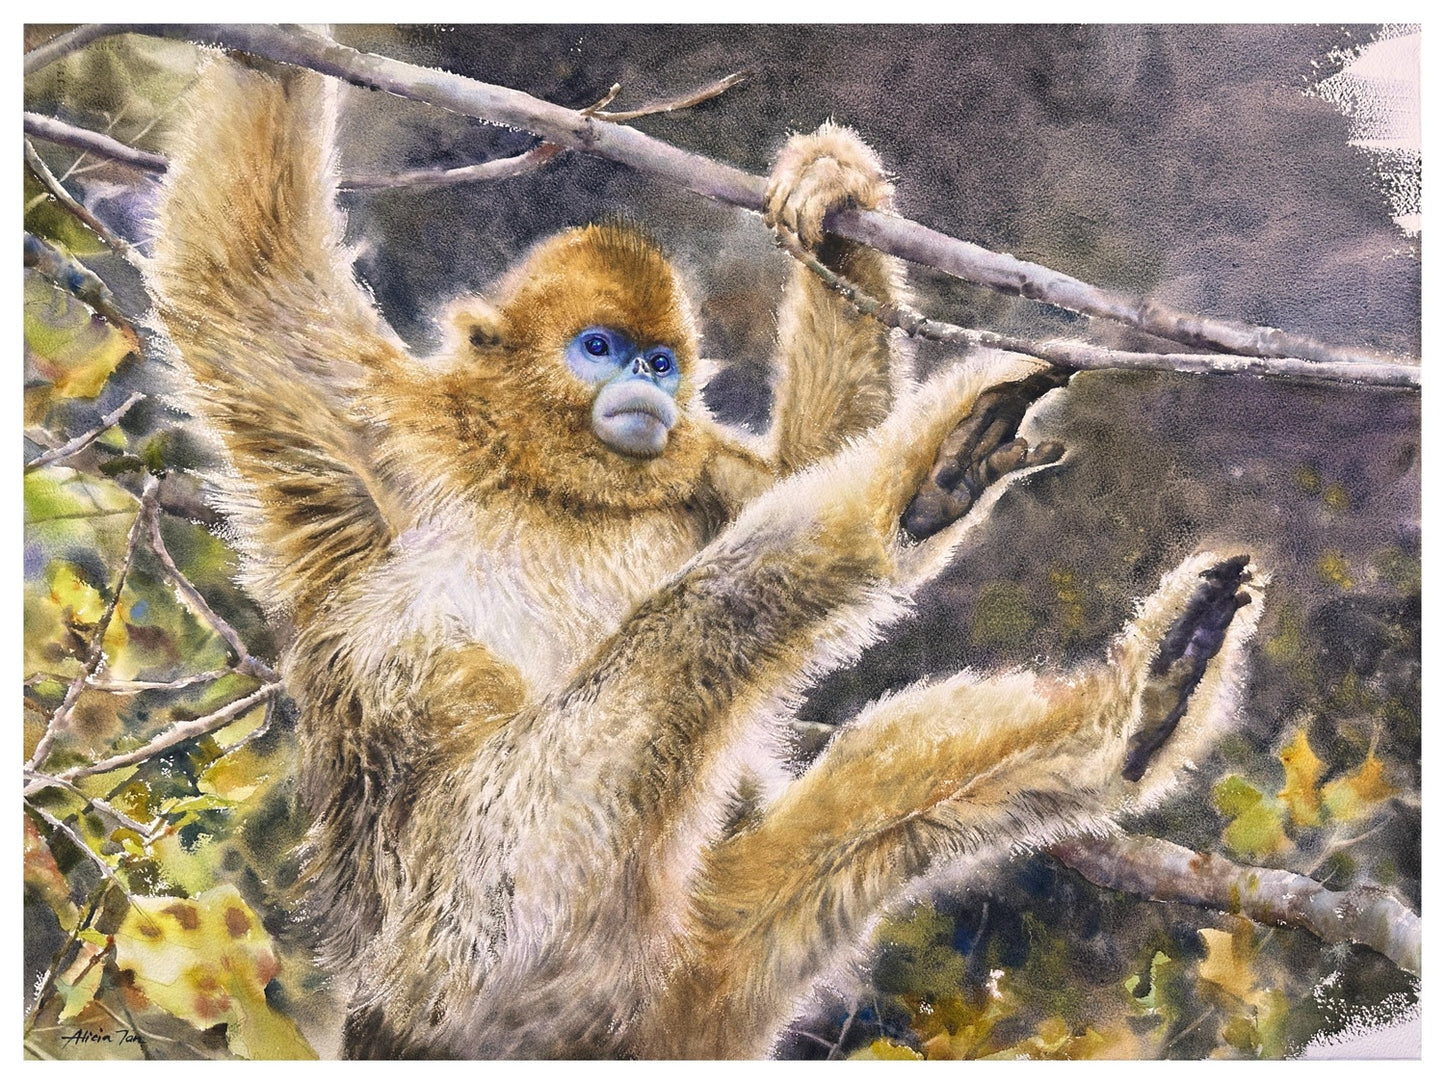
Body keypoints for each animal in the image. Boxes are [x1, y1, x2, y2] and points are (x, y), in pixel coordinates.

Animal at [146, 56, 1265, 1059]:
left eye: (659, 360)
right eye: (597, 348)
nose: (644, 386)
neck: (551, 479)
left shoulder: (698, 472)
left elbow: (798, 460)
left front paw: (832, 197)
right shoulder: (379, 428)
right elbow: (237, 273)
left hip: (687, 966)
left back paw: (1130, 698)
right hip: (494, 915)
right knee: (707, 622)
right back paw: (914, 493)